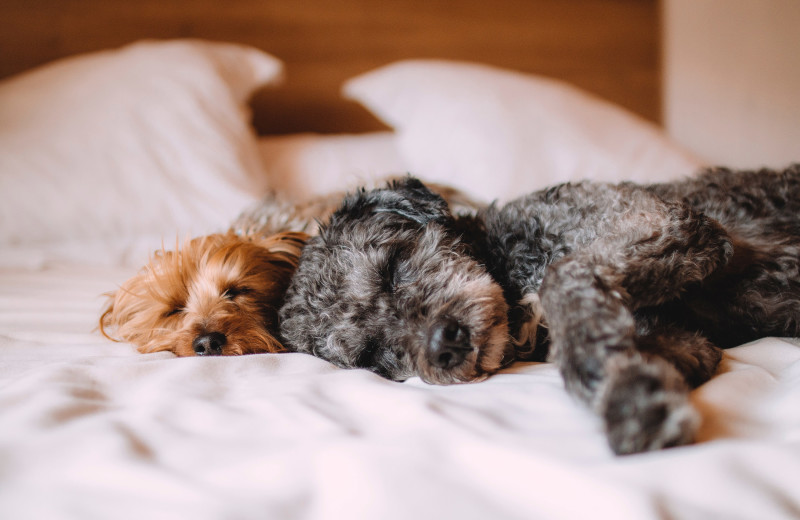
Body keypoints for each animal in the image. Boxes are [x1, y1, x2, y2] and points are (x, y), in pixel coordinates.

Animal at [280, 167, 800, 456]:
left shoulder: (668, 221)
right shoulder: (690, 341)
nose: (443, 345)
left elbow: (561, 279)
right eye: (373, 356)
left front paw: (629, 402)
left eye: (391, 268)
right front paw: (625, 377)